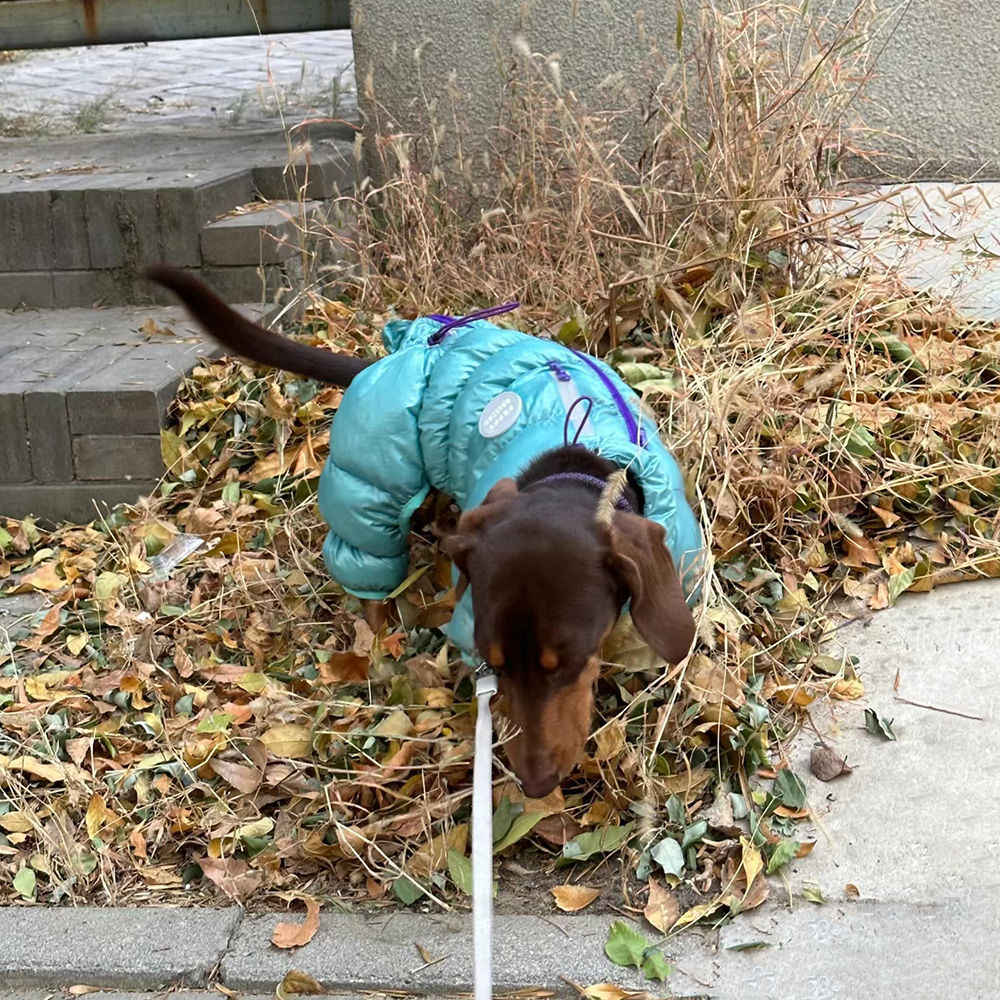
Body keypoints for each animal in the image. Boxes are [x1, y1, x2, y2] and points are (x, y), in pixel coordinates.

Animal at [148, 266, 696, 796]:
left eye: (566, 663)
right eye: (494, 665)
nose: (536, 786)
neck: (573, 465)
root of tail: (385, 361)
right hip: (375, 486)